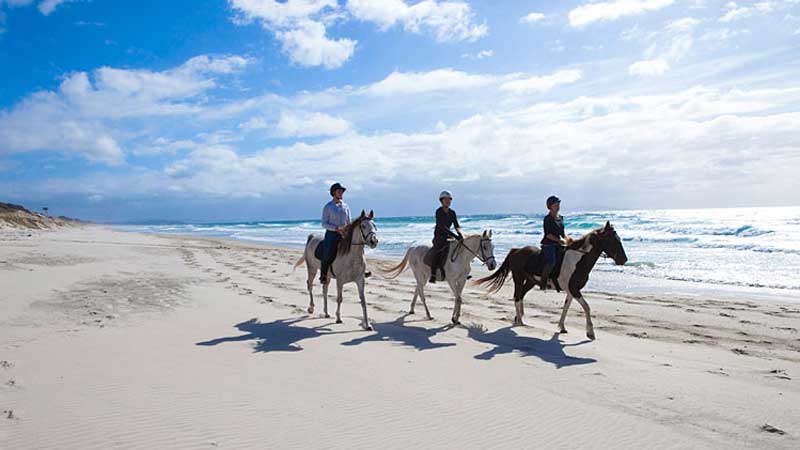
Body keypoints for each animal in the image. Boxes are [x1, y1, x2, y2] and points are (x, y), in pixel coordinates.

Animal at [476, 221, 624, 338]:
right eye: (612, 240)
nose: (624, 259)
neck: (578, 259)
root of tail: (516, 250)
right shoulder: (574, 289)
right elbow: (587, 307)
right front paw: (590, 333)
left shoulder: (571, 290)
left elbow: (566, 307)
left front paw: (562, 327)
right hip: (518, 278)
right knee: (517, 296)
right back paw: (520, 321)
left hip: (530, 281)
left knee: (521, 295)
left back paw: (519, 317)